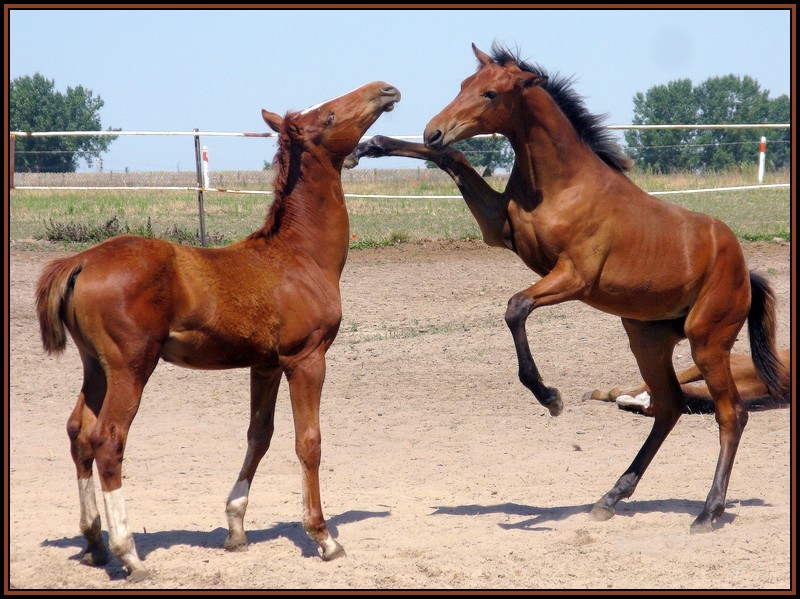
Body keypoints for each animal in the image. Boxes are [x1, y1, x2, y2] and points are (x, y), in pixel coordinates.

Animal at [36, 81, 400, 580]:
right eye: (327, 117)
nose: (386, 90)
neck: (299, 255)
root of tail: (80, 260)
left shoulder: (265, 365)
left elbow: (258, 435)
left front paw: (236, 528)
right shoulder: (306, 358)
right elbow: (308, 441)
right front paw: (323, 537)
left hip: (96, 366)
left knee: (78, 432)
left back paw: (94, 542)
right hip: (131, 366)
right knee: (107, 439)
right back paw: (129, 553)